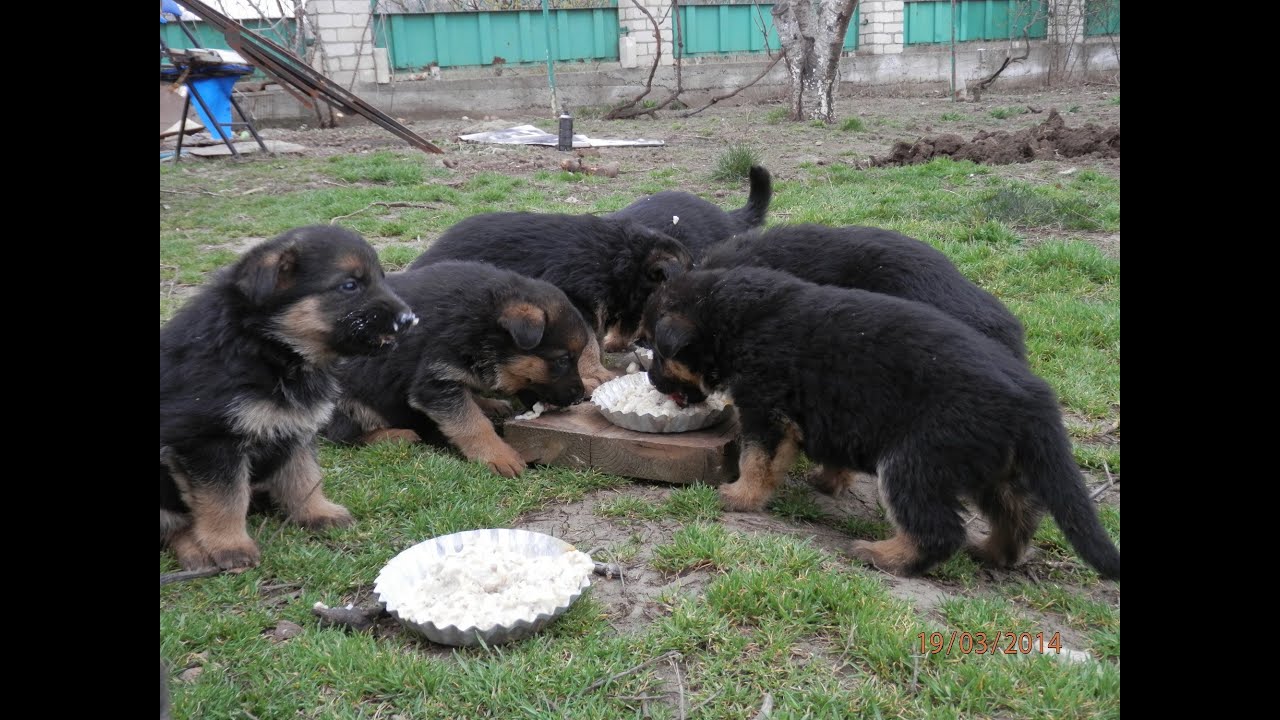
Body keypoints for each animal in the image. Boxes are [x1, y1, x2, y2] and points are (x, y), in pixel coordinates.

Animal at [157, 226, 412, 568]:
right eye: (350, 285)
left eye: (381, 278)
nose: (410, 319)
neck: (269, 348)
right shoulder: (210, 442)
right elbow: (225, 498)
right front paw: (230, 545)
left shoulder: (297, 427)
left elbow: (305, 476)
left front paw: (318, 512)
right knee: (175, 527)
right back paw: (197, 553)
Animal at [325, 258, 593, 476]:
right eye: (562, 360)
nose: (580, 398)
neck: (487, 323)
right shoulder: (435, 380)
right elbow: (471, 423)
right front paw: (498, 455)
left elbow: (468, 398)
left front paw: (485, 403)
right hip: (343, 400)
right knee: (343, 435)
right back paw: (395, 435)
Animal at [645, 266, 1116, 579]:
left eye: (659, 353)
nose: (649, 379)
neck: (740, 318)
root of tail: (1032, 397)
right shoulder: (835, 414)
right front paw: (827, 482)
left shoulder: (766, 409)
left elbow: (756, 460)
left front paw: (740, 496)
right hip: (986, 462)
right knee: (1019, 509)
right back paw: (995, 552)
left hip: (915, 461)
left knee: (940, 530)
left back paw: (884, 556)